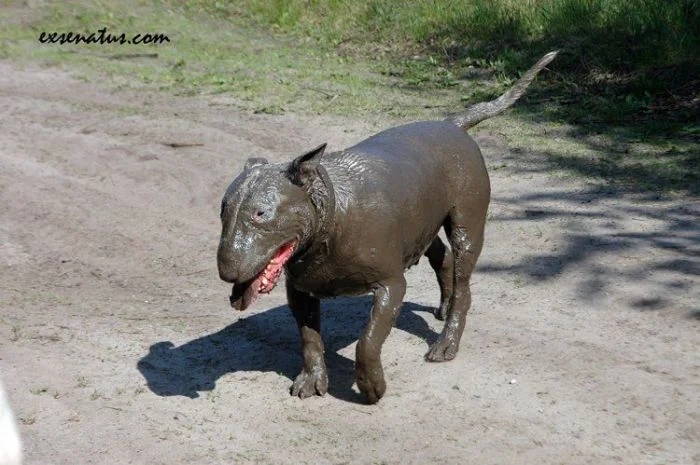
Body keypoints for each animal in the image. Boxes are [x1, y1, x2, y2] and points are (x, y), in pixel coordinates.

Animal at [219, 50, 556, 402]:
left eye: (261, 214)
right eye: (223, 210)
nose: (227, 273)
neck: (331, 220)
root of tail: (453, 125)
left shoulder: (391, 285)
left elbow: (368, 340)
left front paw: (371, 386)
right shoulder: (300, 290)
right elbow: (309, 338)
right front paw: (311, 380)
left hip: (467, 223)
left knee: (463, 281)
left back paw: (446, 342)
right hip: (422, 220)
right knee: (442, 256)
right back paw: (444, 305)